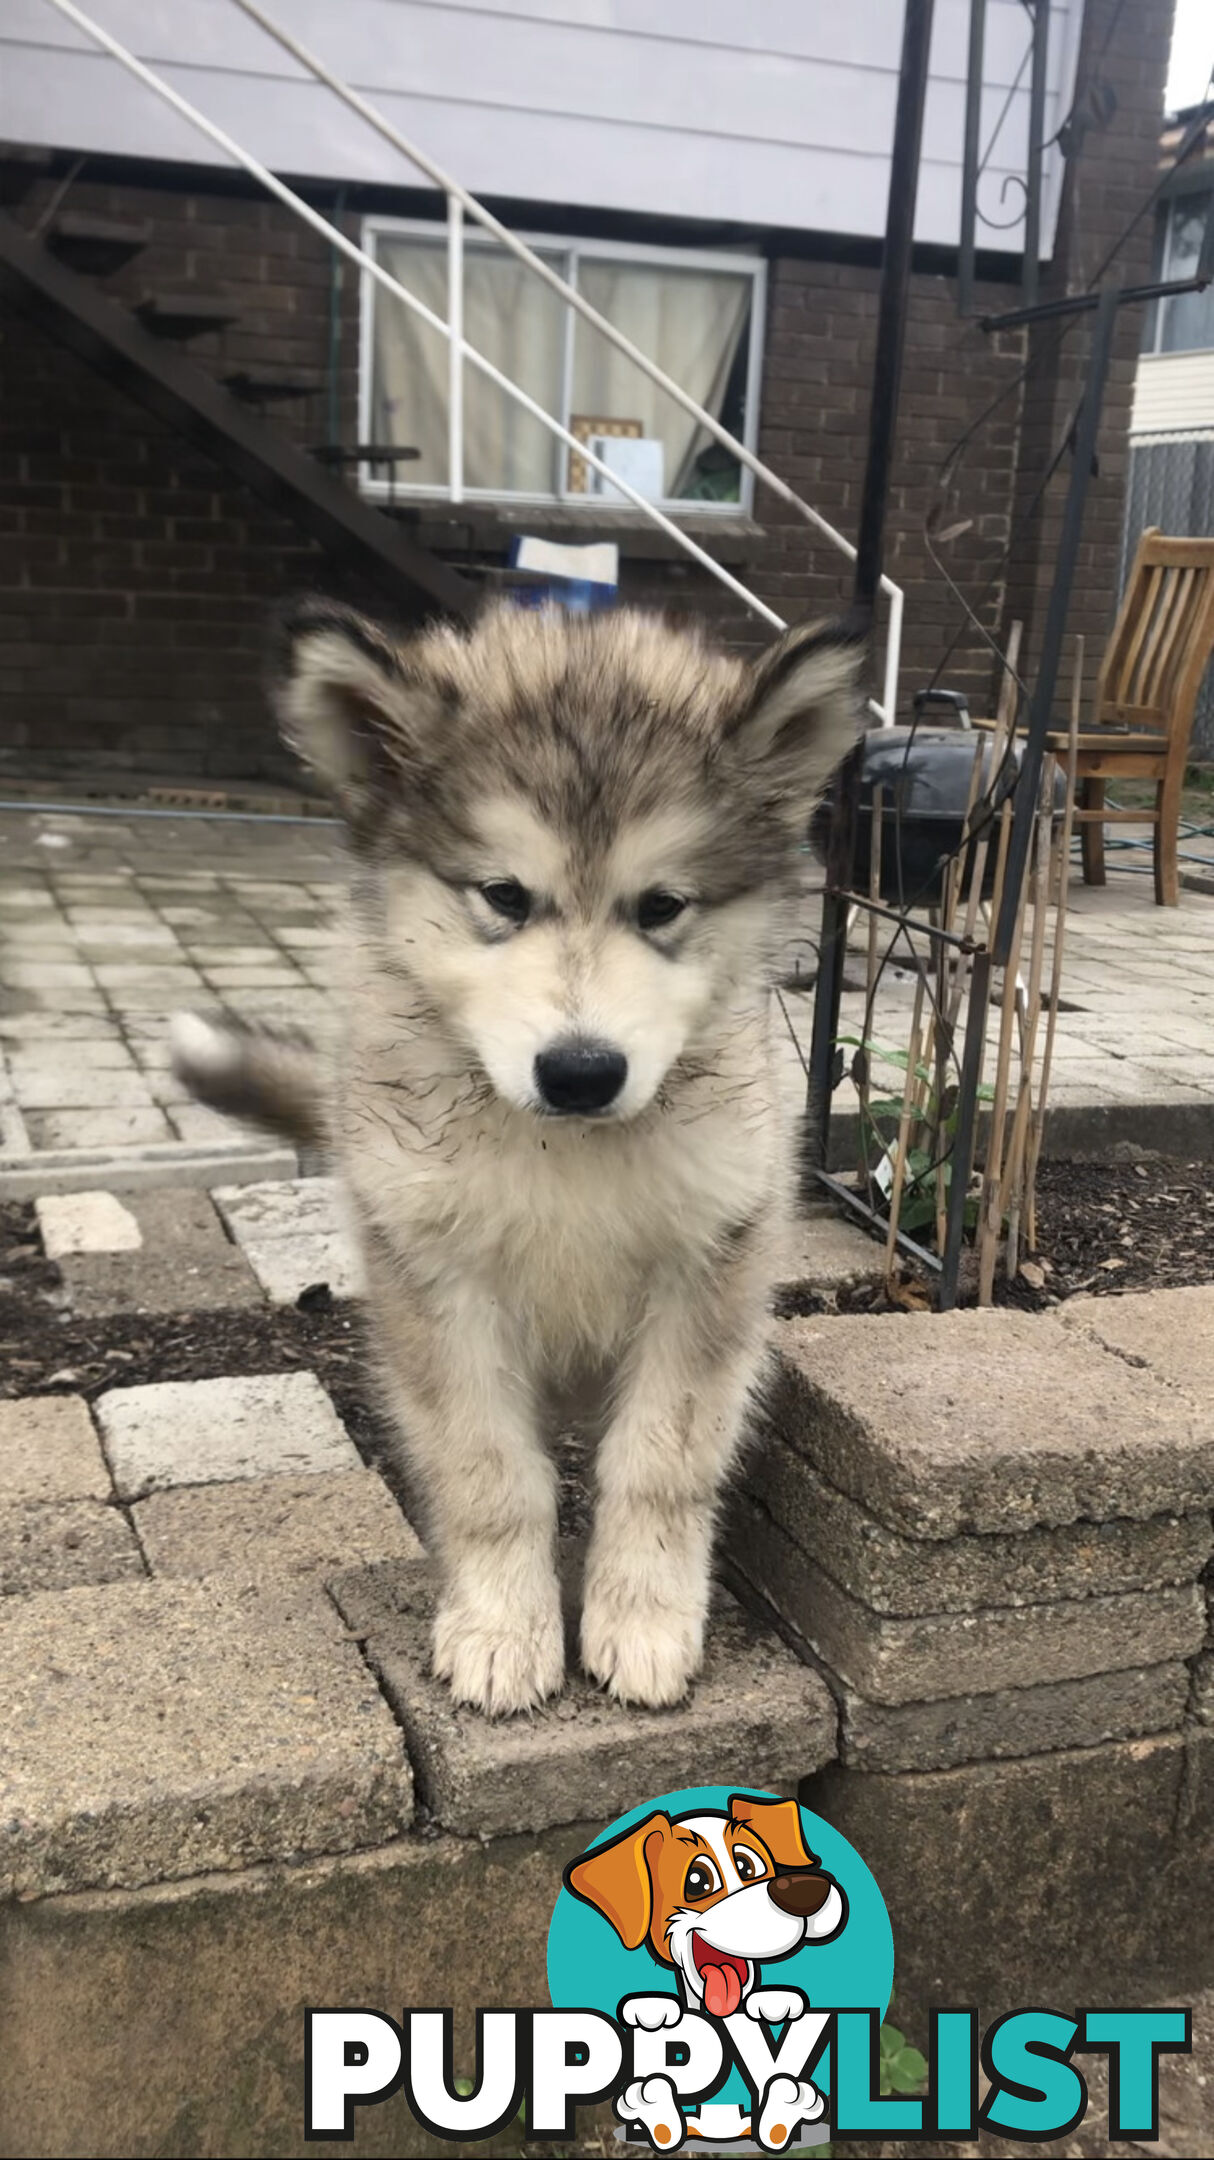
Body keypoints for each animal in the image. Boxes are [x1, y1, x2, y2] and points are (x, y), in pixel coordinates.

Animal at [174, 600, 855, 1710]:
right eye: (502, 894)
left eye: (660, 905)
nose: (580, 1071)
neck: (562, 1148)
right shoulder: (438, 1287)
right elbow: (491, 1475)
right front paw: (503, 1628)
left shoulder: (709, 1267)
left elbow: (659, 1464)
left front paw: (642, 1618)